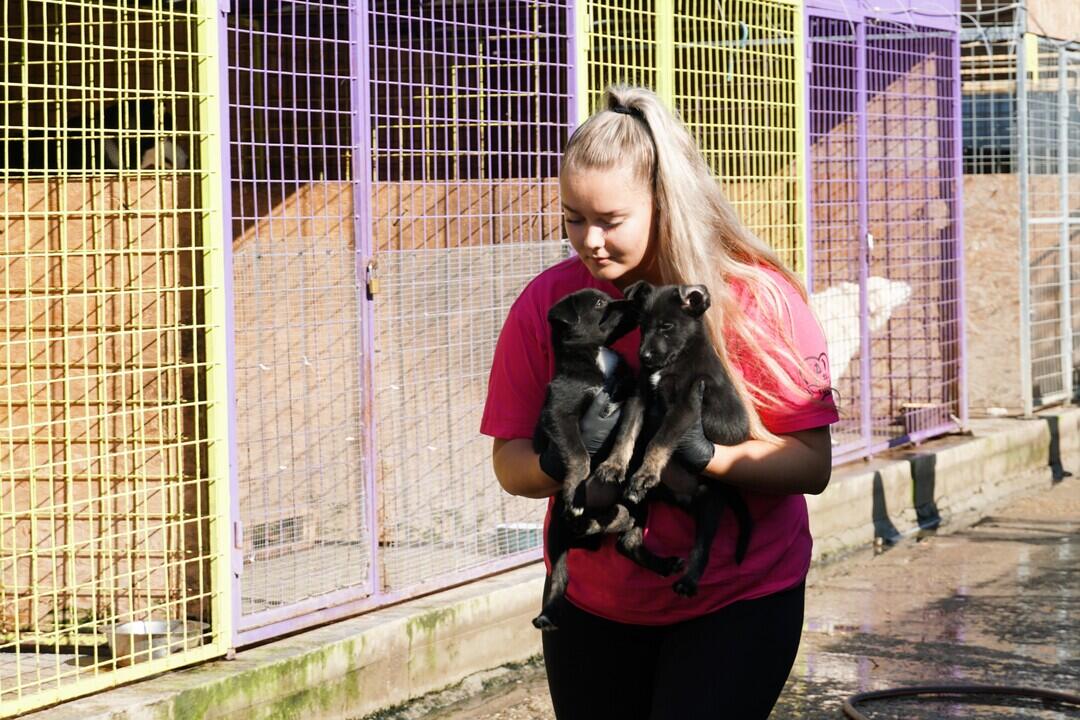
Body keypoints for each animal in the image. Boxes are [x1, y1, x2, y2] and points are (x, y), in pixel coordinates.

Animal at [622, 280, 756, 595]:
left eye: (667, 326)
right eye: (642, 326)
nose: (644, 357)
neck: (676, 360)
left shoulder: (685, 406)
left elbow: (659, 440)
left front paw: (646, 472)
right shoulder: (640, 396)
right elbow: (626, 431)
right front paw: (612, 465)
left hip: (710, 501)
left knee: (702, 548)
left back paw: (688, 581)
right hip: (644, 503)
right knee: (628, 541)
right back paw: (664, 564)